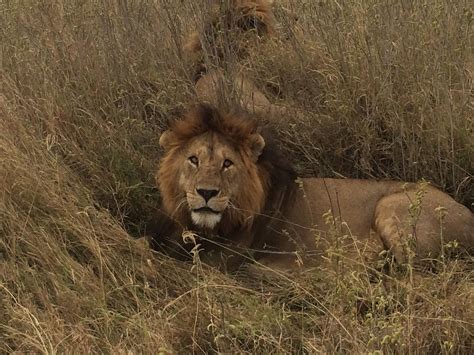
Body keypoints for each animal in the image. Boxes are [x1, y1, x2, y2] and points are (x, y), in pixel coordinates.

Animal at [153, 104, 474, 272]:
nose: (207, 193)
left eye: (227, 164)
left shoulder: (224, 262)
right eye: (193, 160)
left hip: (392, 207)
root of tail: (466, 212)